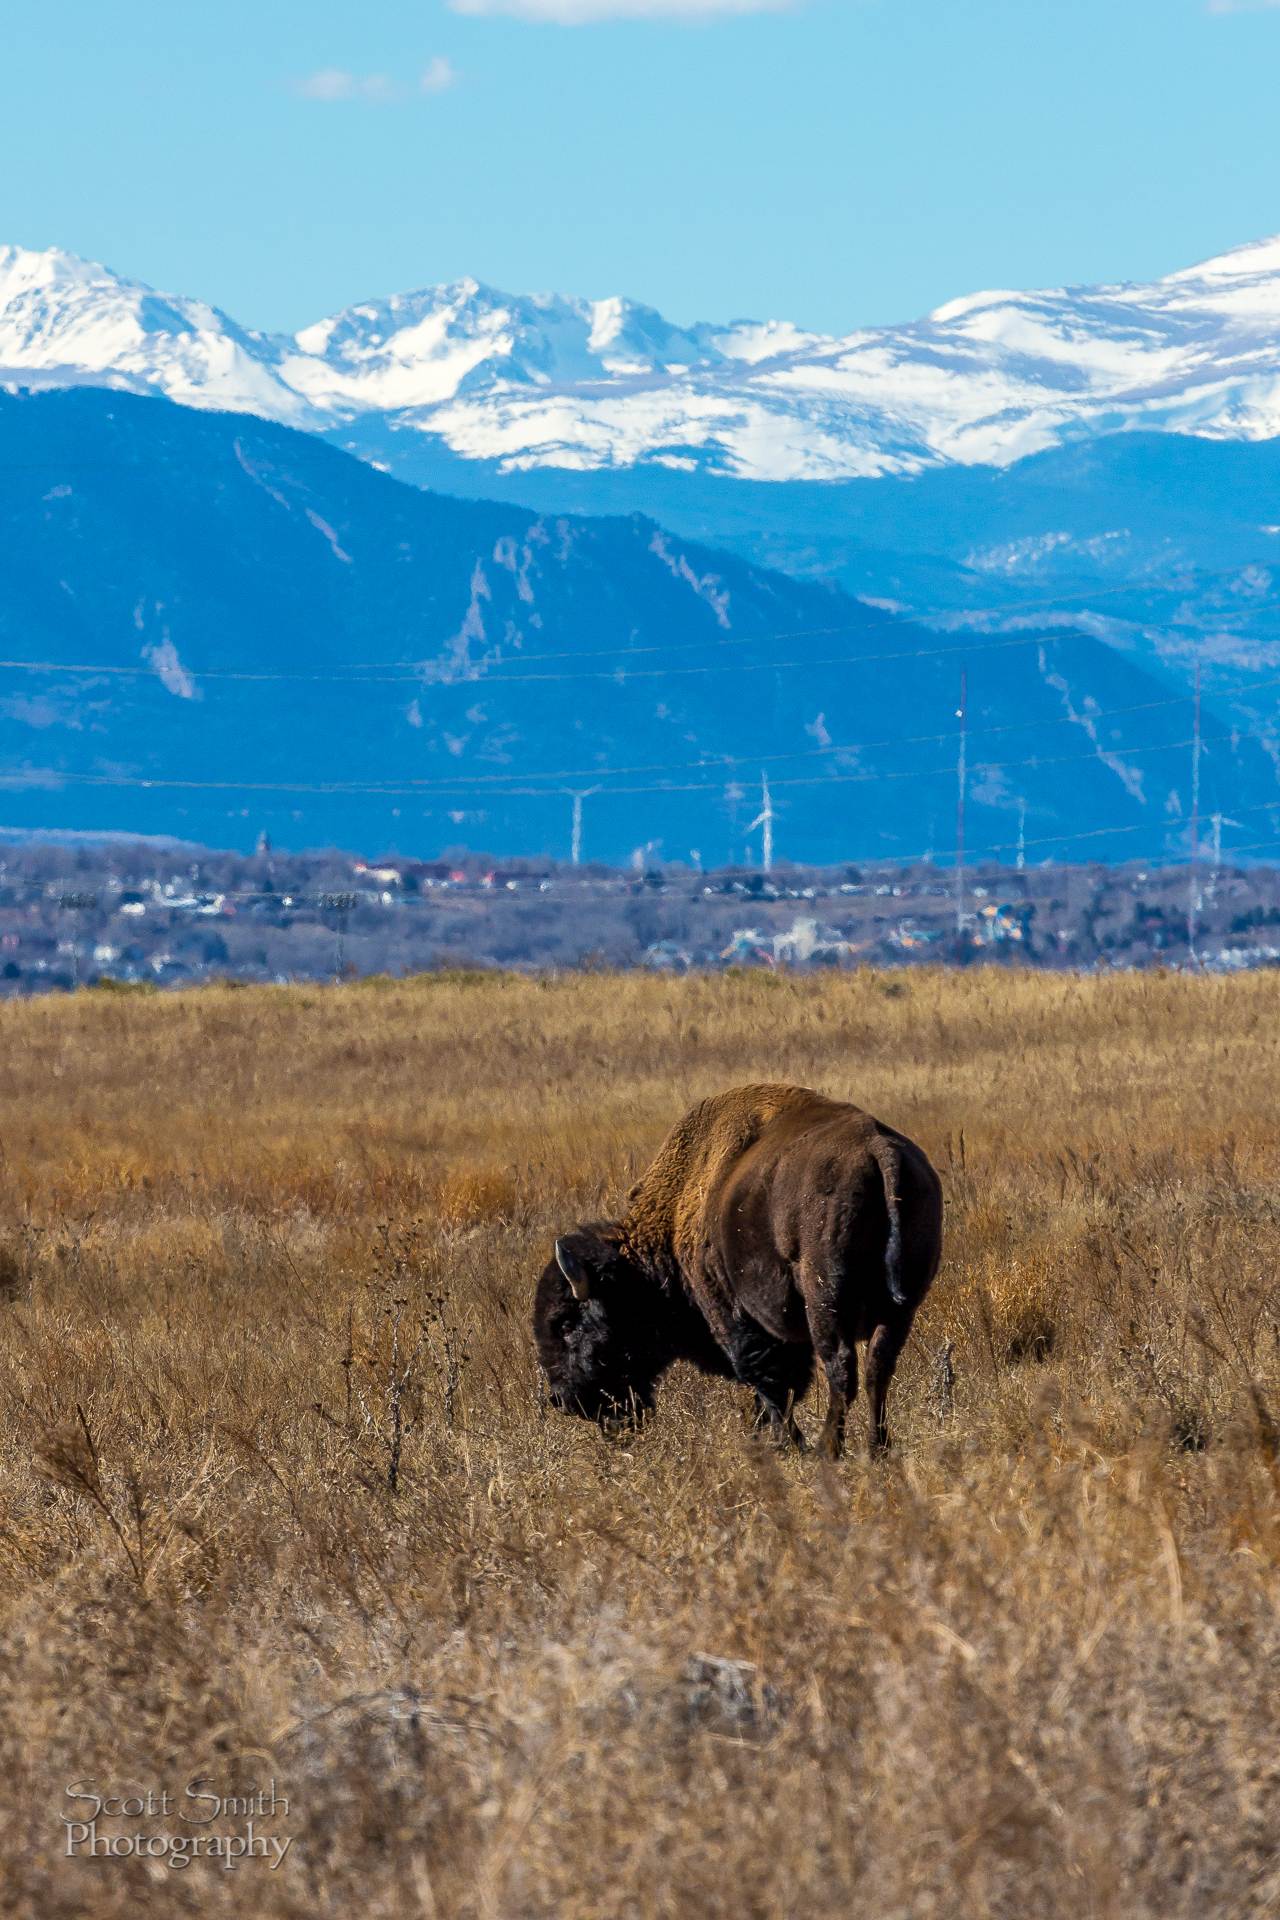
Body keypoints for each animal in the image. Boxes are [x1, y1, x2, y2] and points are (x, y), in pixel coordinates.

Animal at [529, 1082, 940, 1451]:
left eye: (565, 1324)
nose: (561, 1400)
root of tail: (878, 1149)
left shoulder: (736, 1318)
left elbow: (770, 1383)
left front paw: (784, 1444)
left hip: (825, 1299)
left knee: (840, 1367)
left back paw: (828, 1448)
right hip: (900, 1308)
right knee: (877, 1369)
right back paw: (876, 1448)